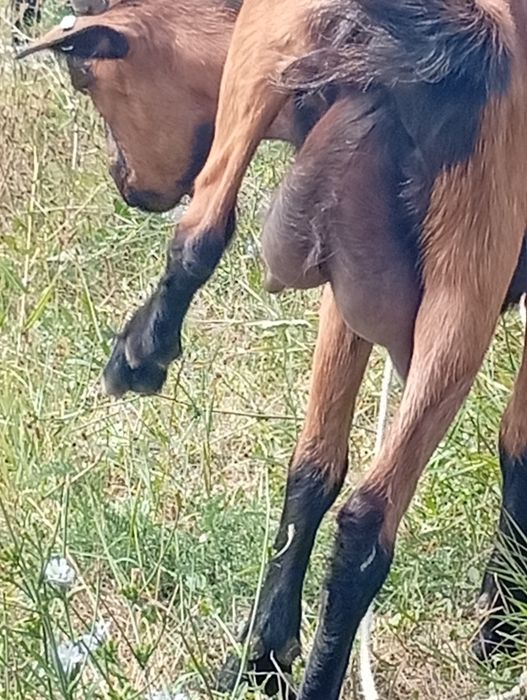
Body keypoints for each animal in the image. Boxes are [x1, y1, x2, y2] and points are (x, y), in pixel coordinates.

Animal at [21, 0, 527, 696]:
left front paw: (502, 619)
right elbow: (322, 468)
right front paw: (502, 622)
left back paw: (141, 352)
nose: (123, 182)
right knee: (358, 509)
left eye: (85, 78)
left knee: (203, 223)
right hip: (460, 284)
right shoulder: (349, 299)